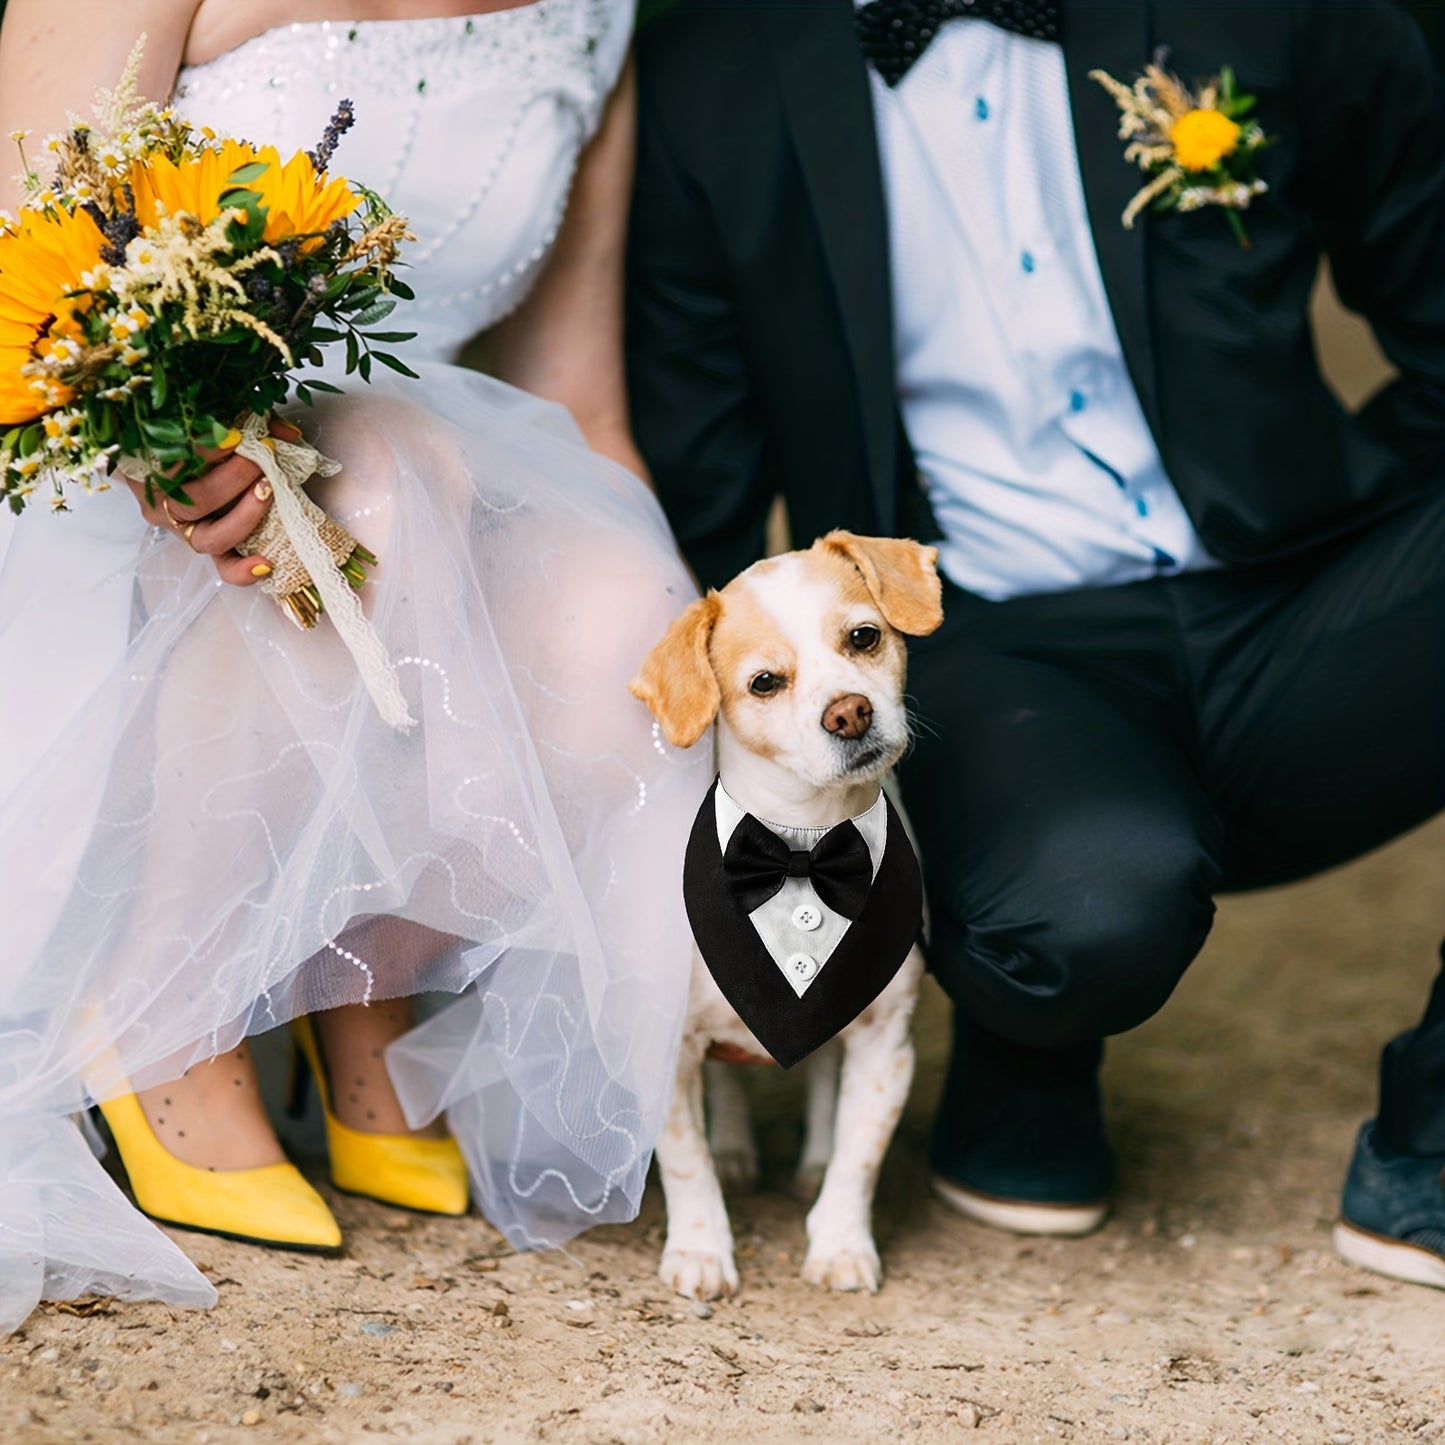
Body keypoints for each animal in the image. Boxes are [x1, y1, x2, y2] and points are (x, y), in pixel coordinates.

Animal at [627, 528, 942, 1300]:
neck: (803, 844)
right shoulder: (670, 1049)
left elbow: (859, 1158)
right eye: (764, 682)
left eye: (863, 637)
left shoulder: (885, 1045)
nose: (849, 711)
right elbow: (686, 1161)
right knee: (726, 1082)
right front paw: (700, 1250)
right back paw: (737, 1150)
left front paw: (841, 1243)